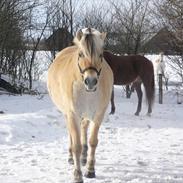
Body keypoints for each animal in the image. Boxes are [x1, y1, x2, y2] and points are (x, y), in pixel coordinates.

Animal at [47, 27, 113, 182]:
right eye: (81, 54)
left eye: (101, 55)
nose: (91, 81)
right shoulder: (72, 114)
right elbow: (76, 144)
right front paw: (77, 174)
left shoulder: (98, 114)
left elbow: (93, 141)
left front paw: (90, 170)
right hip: (68, 114)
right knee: (71, 134)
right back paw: (71, 157)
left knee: (84, 128)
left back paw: (83, 157)